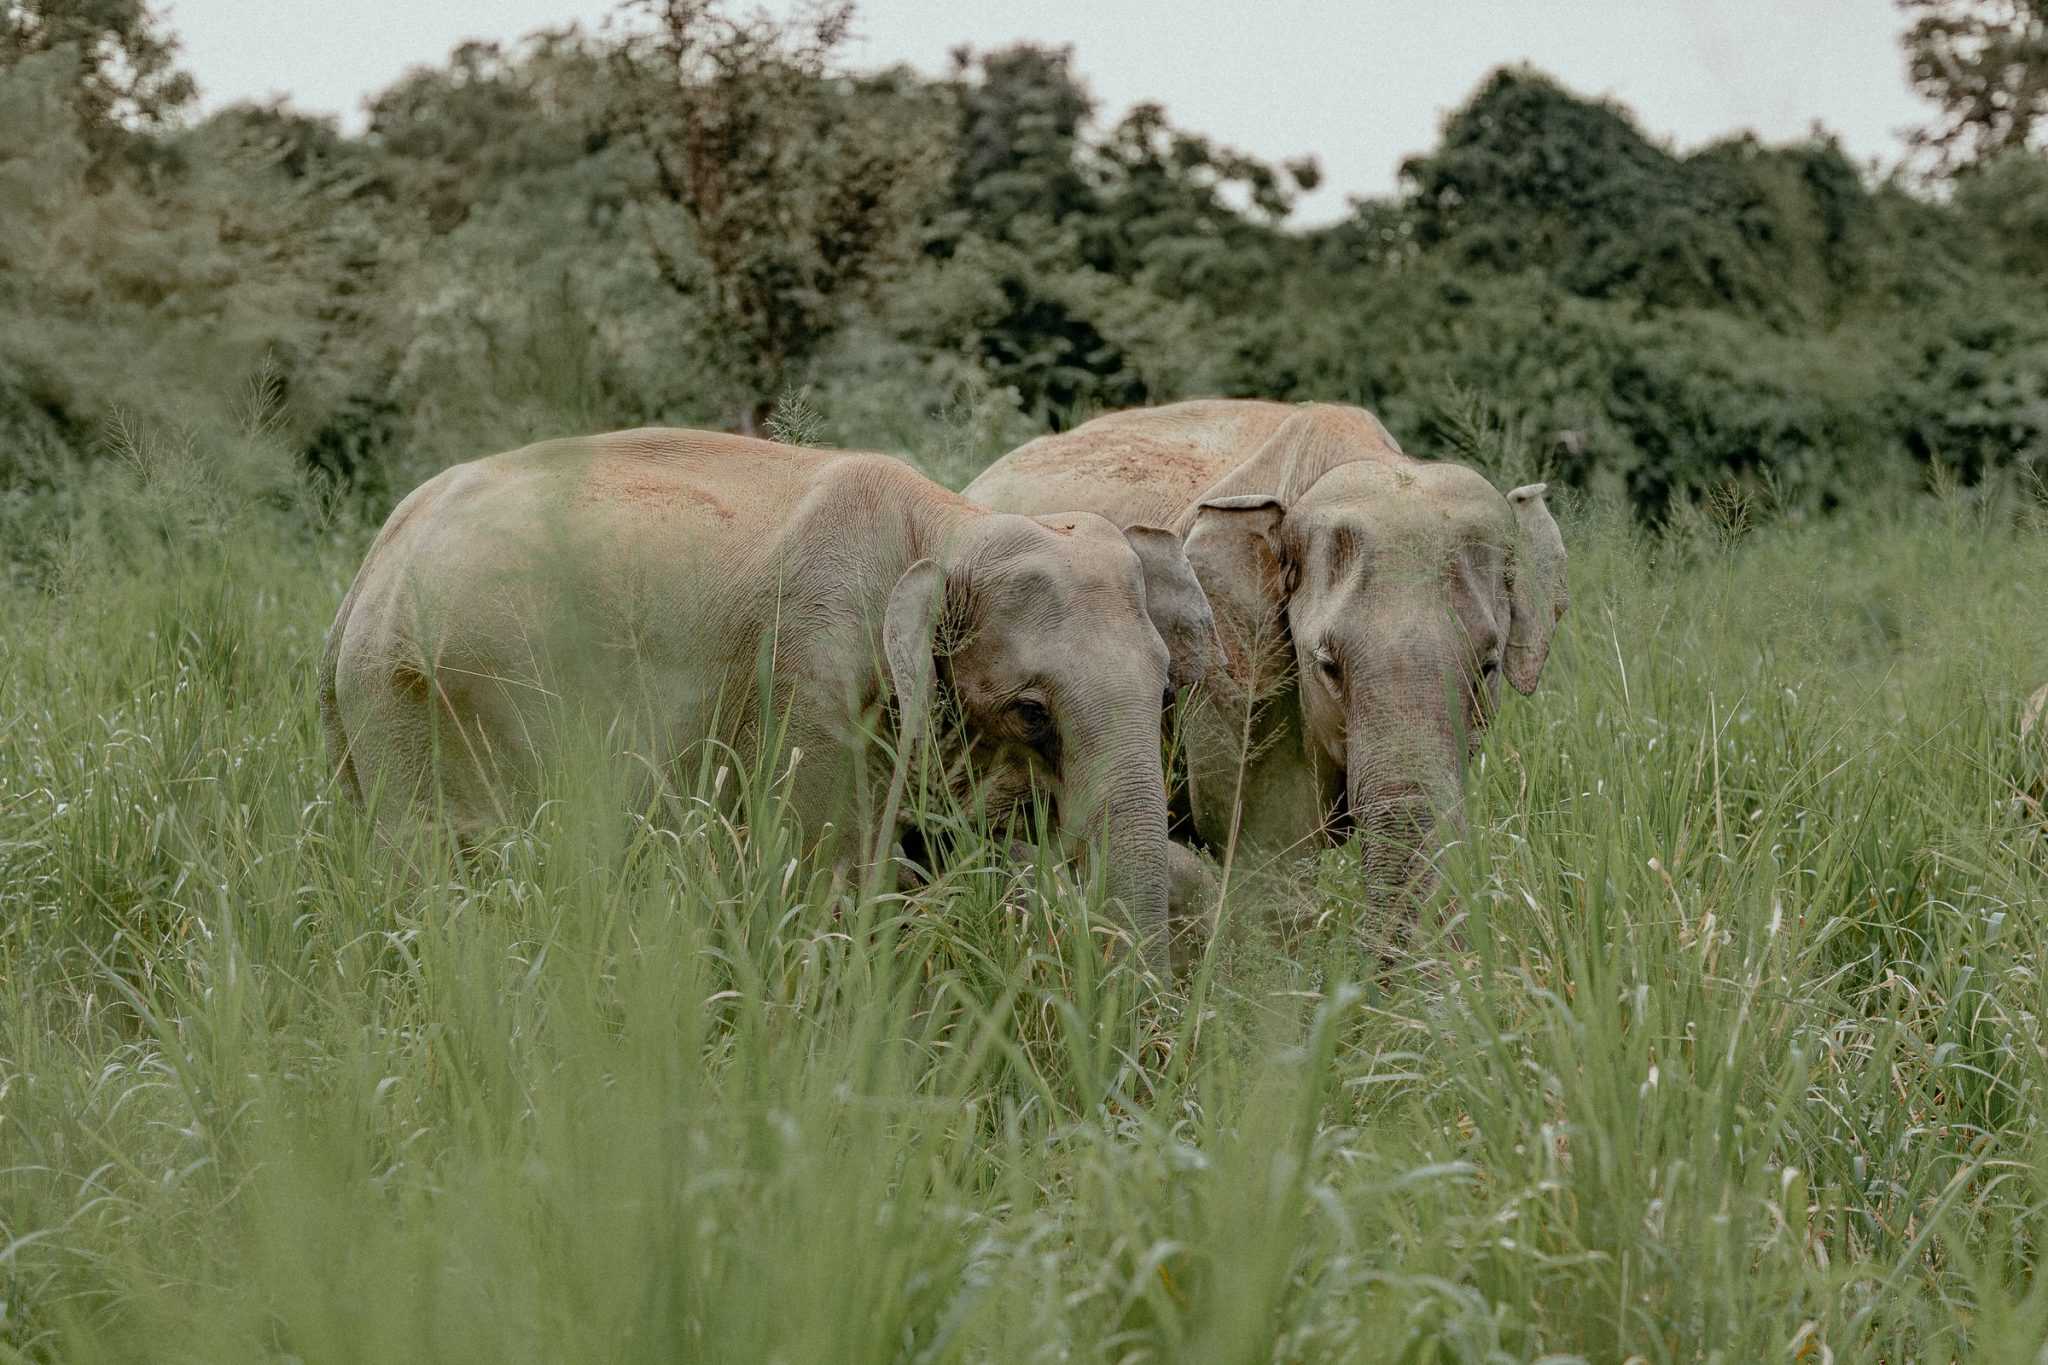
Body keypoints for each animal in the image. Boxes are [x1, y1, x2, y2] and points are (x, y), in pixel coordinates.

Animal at [319, 427, 1212, 961]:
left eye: (1168, 690)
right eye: (1031, 712)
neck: (947, 523)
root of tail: (365, 569)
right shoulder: (810, 669)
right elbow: (824, 878)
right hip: (407, 706)